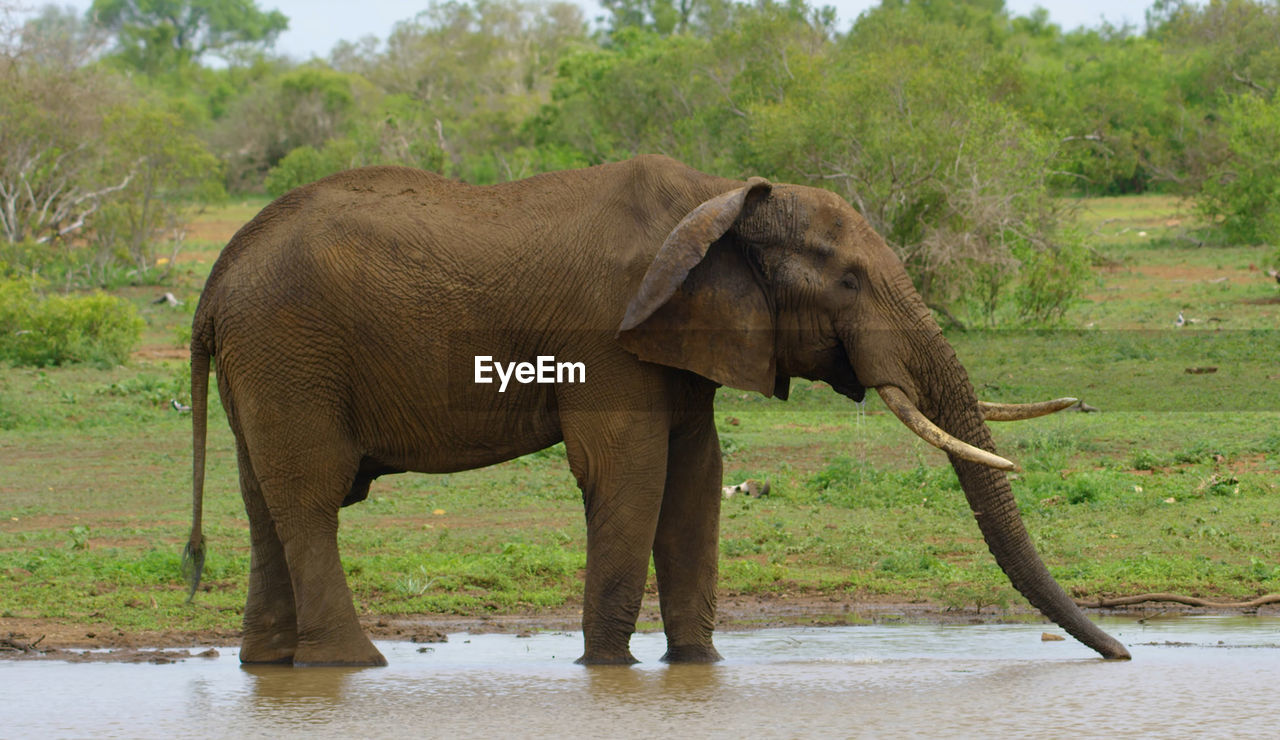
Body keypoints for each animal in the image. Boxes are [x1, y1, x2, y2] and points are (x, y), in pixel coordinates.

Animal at [183, 154, 1131, 660]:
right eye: (850, 282)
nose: (1122, 652)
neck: (718, 199)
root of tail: (217, 279)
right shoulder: (611, 335)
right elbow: (631, 478)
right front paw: (608, 672)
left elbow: (697, 482)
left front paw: (696, 666)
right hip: (290, 348)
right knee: (310, 498)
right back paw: (355, 666)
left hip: (267, 360)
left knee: (265, 501)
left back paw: (275, 669)